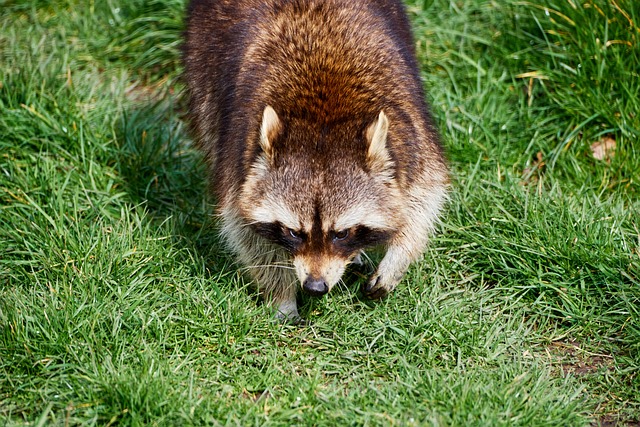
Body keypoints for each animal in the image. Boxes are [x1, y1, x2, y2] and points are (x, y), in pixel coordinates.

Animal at [182, 0, 448, 320]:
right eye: (293, 232)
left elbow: (424, 198)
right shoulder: (239, 155)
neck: (324, 119)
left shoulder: (411, 134)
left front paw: (398, 256)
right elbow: (246, 232)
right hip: (202, 61)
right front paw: (282, 296)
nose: (315, 287)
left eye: (342, 233)